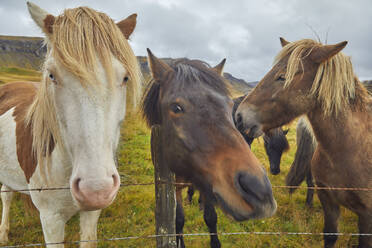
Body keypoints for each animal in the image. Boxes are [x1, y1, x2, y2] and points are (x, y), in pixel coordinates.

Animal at [0, 2, 141, 248]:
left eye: (125, 78)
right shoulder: (51, 218)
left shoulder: (92, 214)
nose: (96, 189)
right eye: (51, 75)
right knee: (6, 196)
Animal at [142, 49, 276, 247]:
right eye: (176, 107)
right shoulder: (174, 185)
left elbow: (211, 217)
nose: (259, 191)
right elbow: (178, 220)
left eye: (229, 105)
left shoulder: (207, 181)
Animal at [235, 37, 372, 247]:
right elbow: (330, 236)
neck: (350, 148)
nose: (239, 116)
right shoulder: (328, 202)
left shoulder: (366, 216)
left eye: (282, 77)